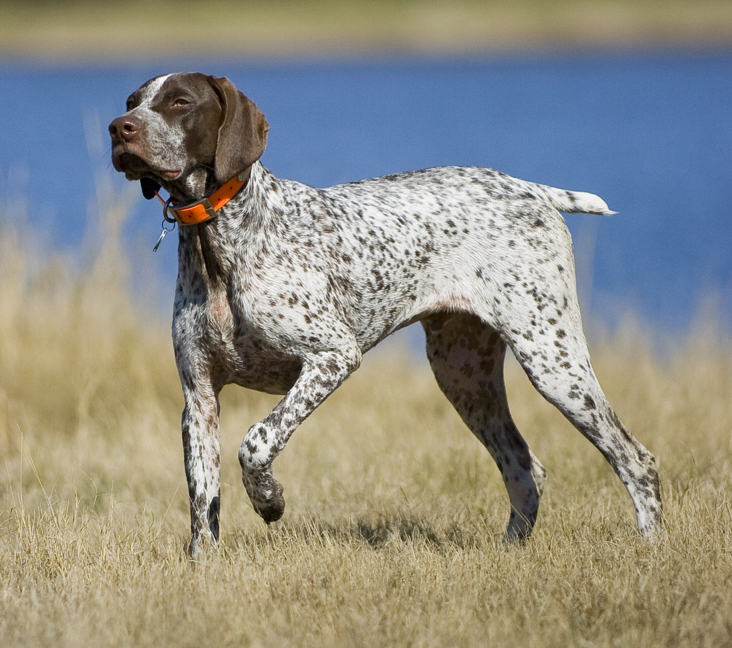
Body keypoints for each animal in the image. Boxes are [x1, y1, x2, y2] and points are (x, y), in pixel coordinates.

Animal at [110, 72, 664, 556]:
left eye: (180, 102)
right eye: (132, 101)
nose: (119, 129)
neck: (218, 241)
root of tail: (530, 188)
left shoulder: (333, 356)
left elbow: (257, 441)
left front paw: (269, 501)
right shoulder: (199, 399)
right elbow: (203, 504)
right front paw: (204, 567)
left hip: (553, 361)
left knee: (636, 459)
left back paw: (651, 547)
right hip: (464, 377)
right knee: (525, 469)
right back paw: (510, 552)